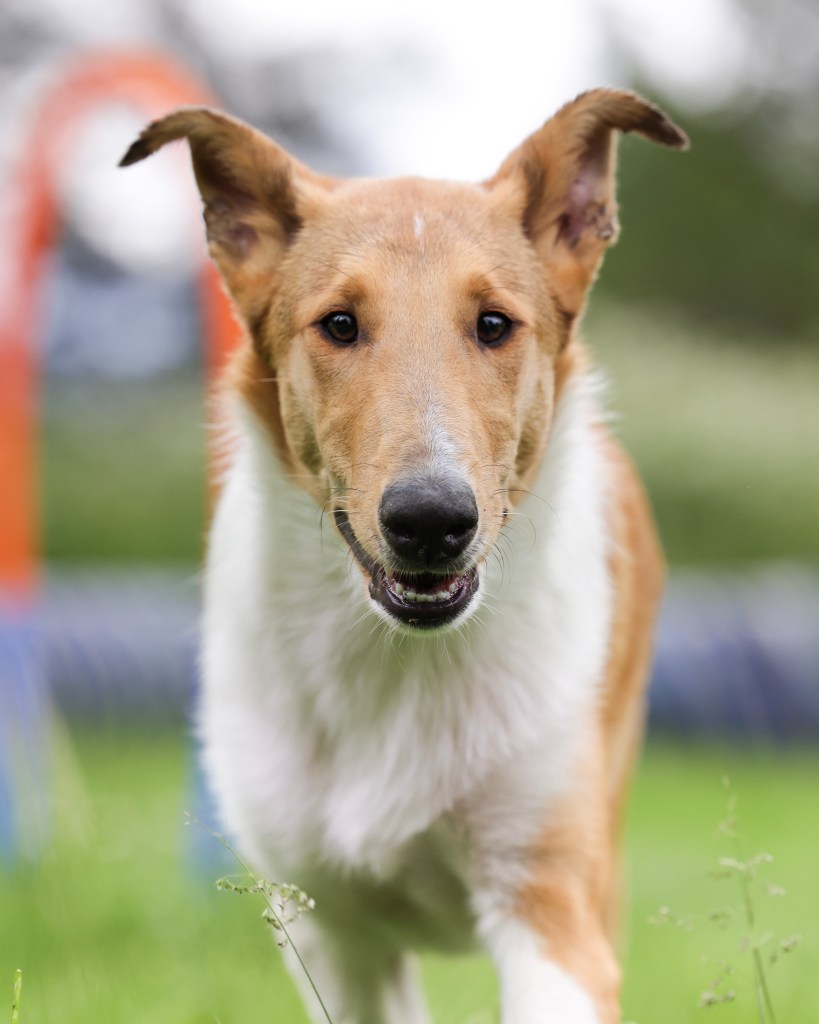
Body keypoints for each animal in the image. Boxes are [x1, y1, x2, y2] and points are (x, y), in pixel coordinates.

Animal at [121, 89, 686, 1024]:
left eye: (493, 324)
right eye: (339, 324)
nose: (430, 520)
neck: (400, 667)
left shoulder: (547, 902)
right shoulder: (335, 934)